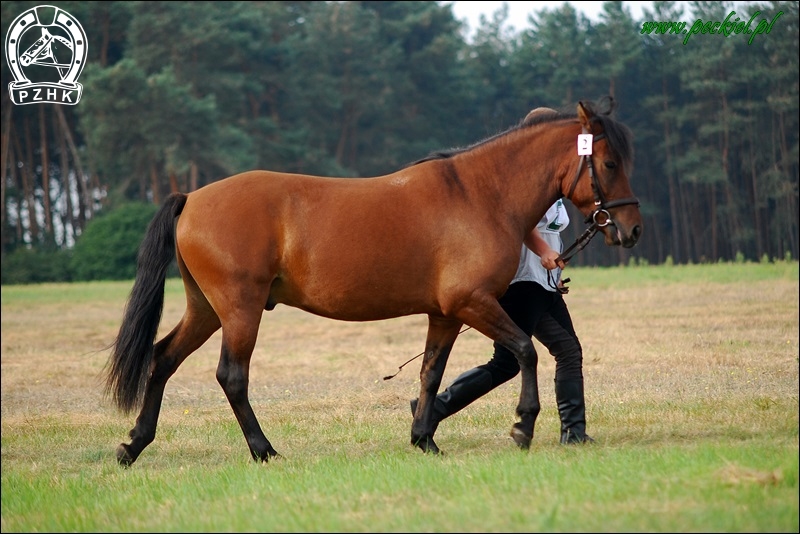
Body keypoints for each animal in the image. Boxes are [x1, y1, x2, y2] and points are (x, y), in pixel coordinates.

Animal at [108, 98, 644, 466]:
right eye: (610, 163)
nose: (632, 229)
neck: (479, 195)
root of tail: (192, 197)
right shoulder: (472, 303)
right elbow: (526, 351)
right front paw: (522, 427)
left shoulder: (444, 314)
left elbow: (431, 373)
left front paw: (424, 438)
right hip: (239, 309)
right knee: (231, 376)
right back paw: (264, 450)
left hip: (205, 309)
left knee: (162, 359)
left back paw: (134, 444)